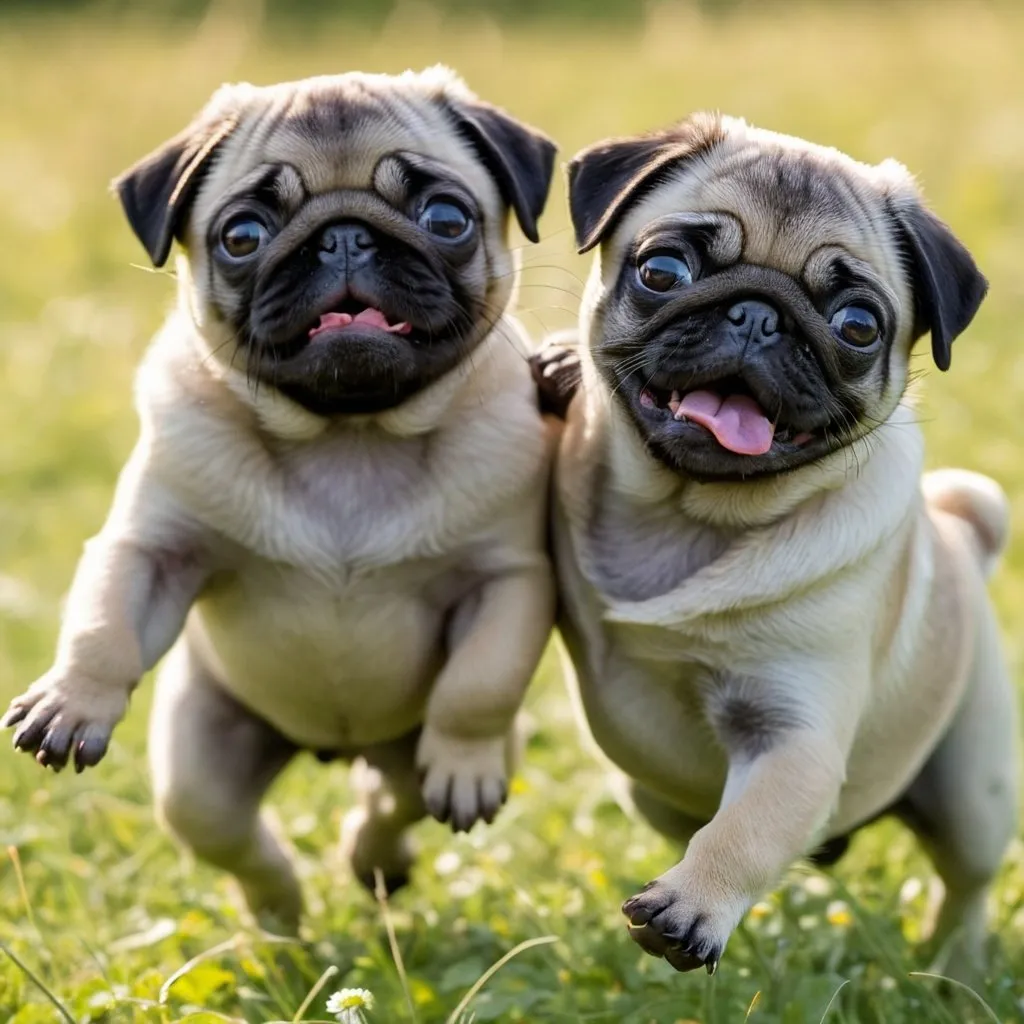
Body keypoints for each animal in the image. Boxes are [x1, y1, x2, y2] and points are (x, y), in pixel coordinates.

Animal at [2, 70, 561, 937]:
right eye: (242, 235)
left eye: (447, 218)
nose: (343, 237)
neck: (348, 439)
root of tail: (336, 747)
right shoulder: (152, 548)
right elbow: (102, 621)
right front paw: (72, 698)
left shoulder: (506, 579)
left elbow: (479, 687)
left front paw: (462, 757)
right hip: (206, 750)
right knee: (222, 827)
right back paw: (280, 914)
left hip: (418, 751)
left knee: (394, 800)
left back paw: (377, 858)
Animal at [540, 116, 1019, 978]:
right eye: (662, 270)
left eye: (858, 326)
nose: (758, 314)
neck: (693, 516)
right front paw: (561, 363)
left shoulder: (794, 736)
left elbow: (748, 828)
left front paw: (692, 905)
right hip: (645, 791)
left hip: (974, 787)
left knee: (965, 879)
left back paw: (951, 965)